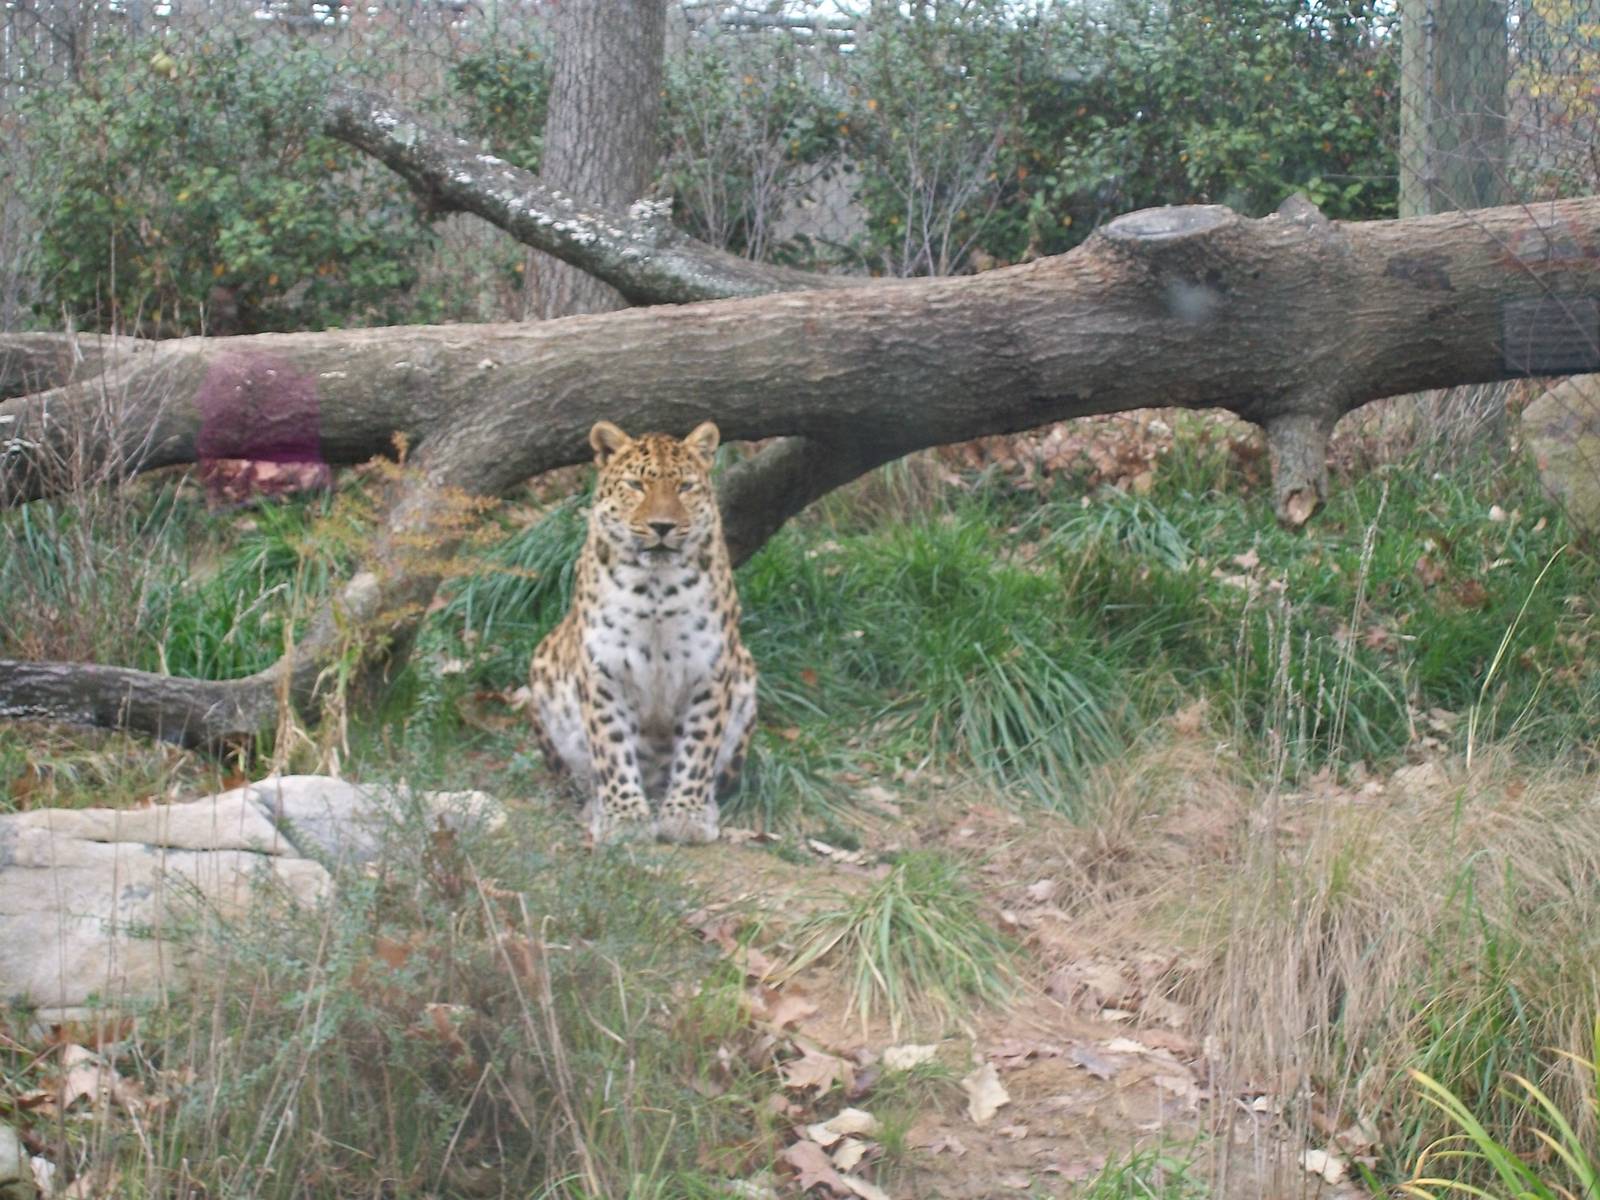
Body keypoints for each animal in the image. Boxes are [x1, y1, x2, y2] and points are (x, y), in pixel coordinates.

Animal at [528, 419, 757, 845]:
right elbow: (612, 746)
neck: (656, 589)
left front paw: (686, 815)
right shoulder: (603, 669)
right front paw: (623, 816)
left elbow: (699, 748)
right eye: (635, 485)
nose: (662, 526)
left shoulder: (711, 668)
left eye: (685, 486)